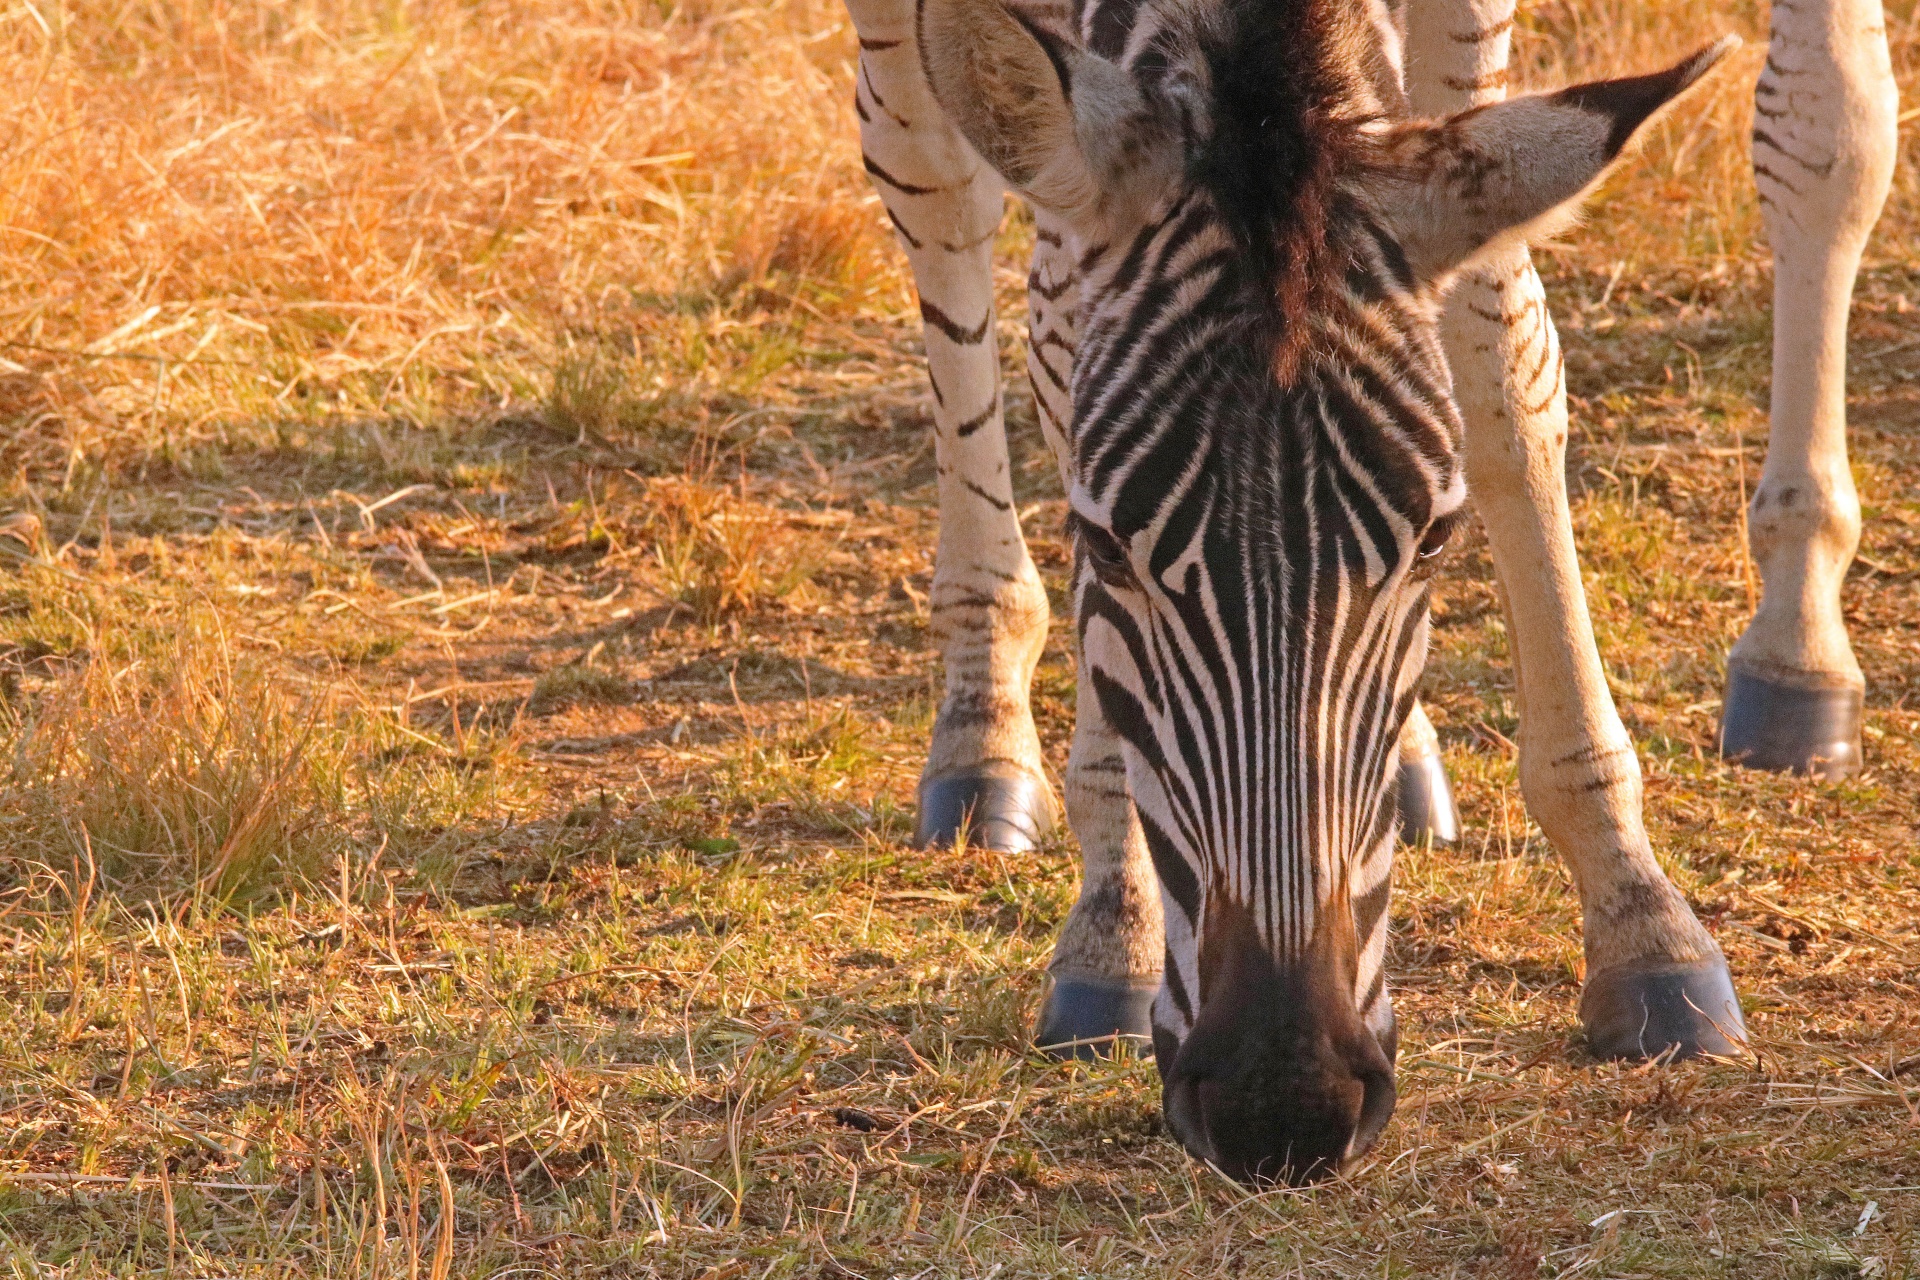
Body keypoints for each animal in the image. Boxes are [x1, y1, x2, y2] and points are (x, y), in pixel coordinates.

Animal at [860, 0, 1904, 1189]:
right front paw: (1111, 910)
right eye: (1101, 544)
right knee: (933, 181)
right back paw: (983, 725)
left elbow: (1501, 340)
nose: (1283, 1102)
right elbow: (1033, 301)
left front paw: (1634, 899)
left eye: (1437, 538)